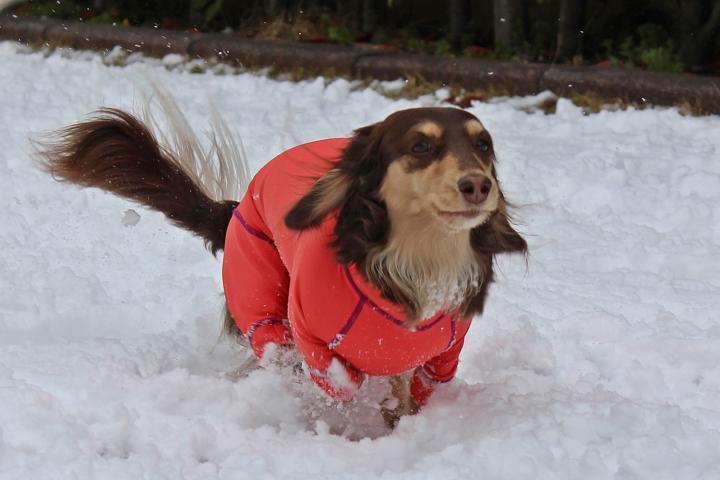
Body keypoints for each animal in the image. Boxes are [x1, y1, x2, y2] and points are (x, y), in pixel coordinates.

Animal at [42, 106, 528, 428]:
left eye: (483, 144)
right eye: (421, 145)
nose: (478, 185)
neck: (417, 265)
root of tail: (235, 207)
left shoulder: (441, 356)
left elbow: (413, 390)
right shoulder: (314, 343)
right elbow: (337, 387)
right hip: (259, 300)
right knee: (269, 351)